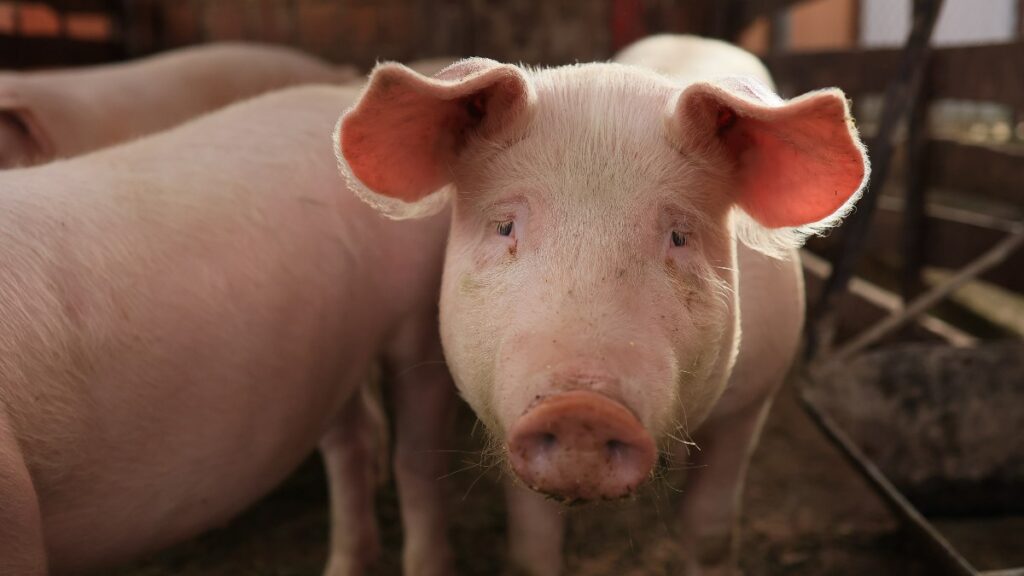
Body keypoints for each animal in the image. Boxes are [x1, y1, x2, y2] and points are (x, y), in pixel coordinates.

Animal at [0, 83, 452, 569]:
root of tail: (348, 93)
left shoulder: (14, 503)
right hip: (335, 346)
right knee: (350, 444)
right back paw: (340, 568)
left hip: (421, 317)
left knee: (418, 460)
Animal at [339, 35, 868, 573]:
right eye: (504, 226)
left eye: (680, 236)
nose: (582, 408)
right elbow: (532, 544)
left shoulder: (753, 398)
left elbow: (710, 531)